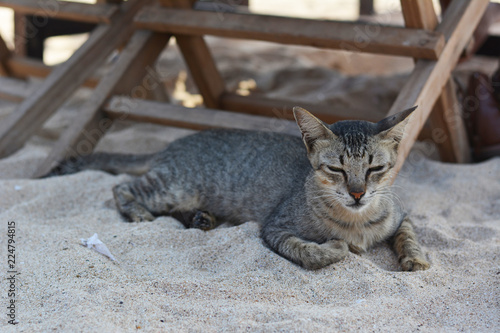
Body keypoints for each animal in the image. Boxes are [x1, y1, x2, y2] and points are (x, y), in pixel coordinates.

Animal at [47, 106, 430, 270]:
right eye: (336, 169)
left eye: (375, 169)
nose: (357, 193)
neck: (356, 221)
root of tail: (173, 144)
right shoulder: (275, 228)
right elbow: (311, 251)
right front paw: (335, 248)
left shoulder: (401, 213)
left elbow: (408, 233)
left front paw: (415, 257)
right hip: (177, 186)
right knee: (122, 188)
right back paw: (141, 213)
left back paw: (201, 219)